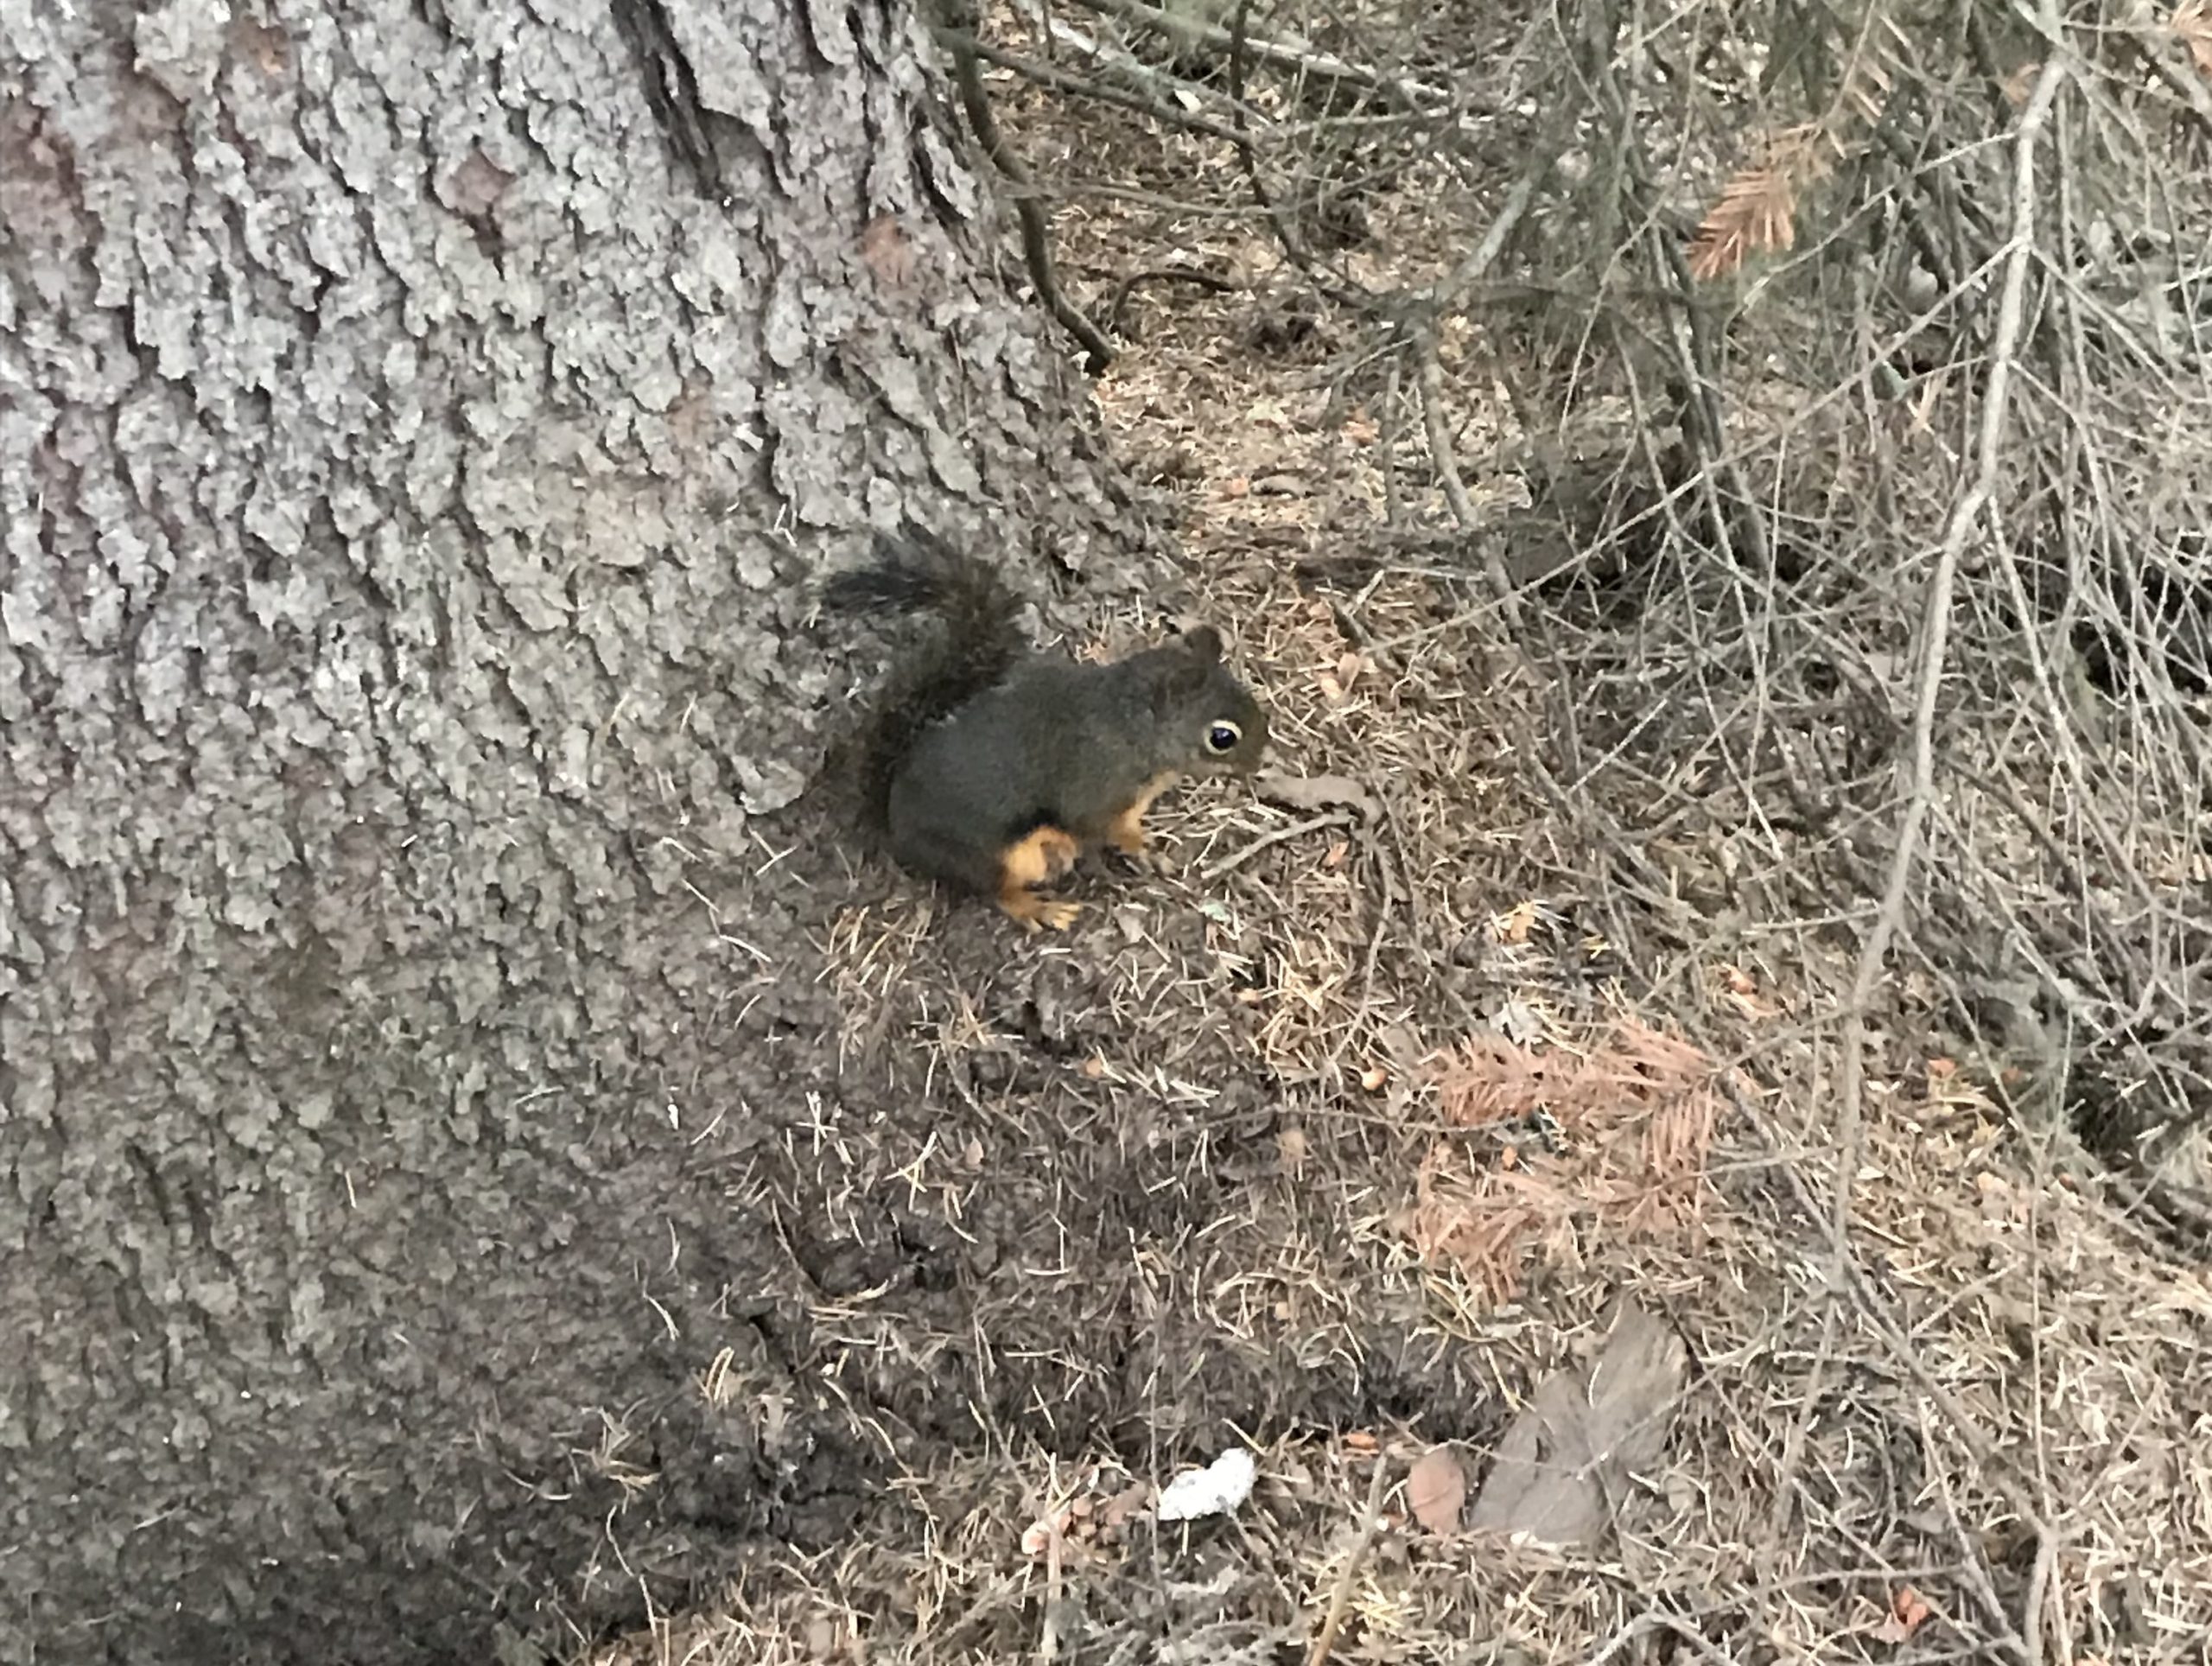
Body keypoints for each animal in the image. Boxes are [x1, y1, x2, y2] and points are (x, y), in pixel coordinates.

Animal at [823, 525, 1268, 930]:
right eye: (1222, 737)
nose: (1259, 762)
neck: (1131, 730)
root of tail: (893, 818)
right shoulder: (1095, 789)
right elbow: (1099, 827)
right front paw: (1130, 847)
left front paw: (1145, 846)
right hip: (989, 856)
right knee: (996, 890)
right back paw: (1038, 908)